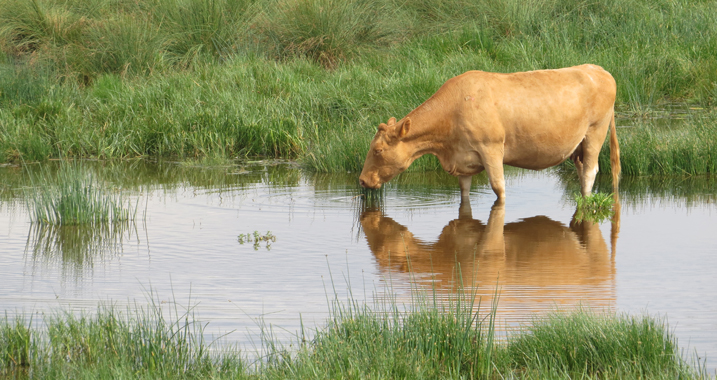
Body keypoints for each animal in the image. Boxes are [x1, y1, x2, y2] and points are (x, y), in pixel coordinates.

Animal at [360, 64, 620, 202]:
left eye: (378, 150)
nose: (362, 180)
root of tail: (598, 69)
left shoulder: (491, 148)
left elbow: (498, 187)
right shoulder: (462, 160)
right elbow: (464, 191)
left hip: (596, 131)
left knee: (590, 172)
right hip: (579, 146)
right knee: (582, 170)